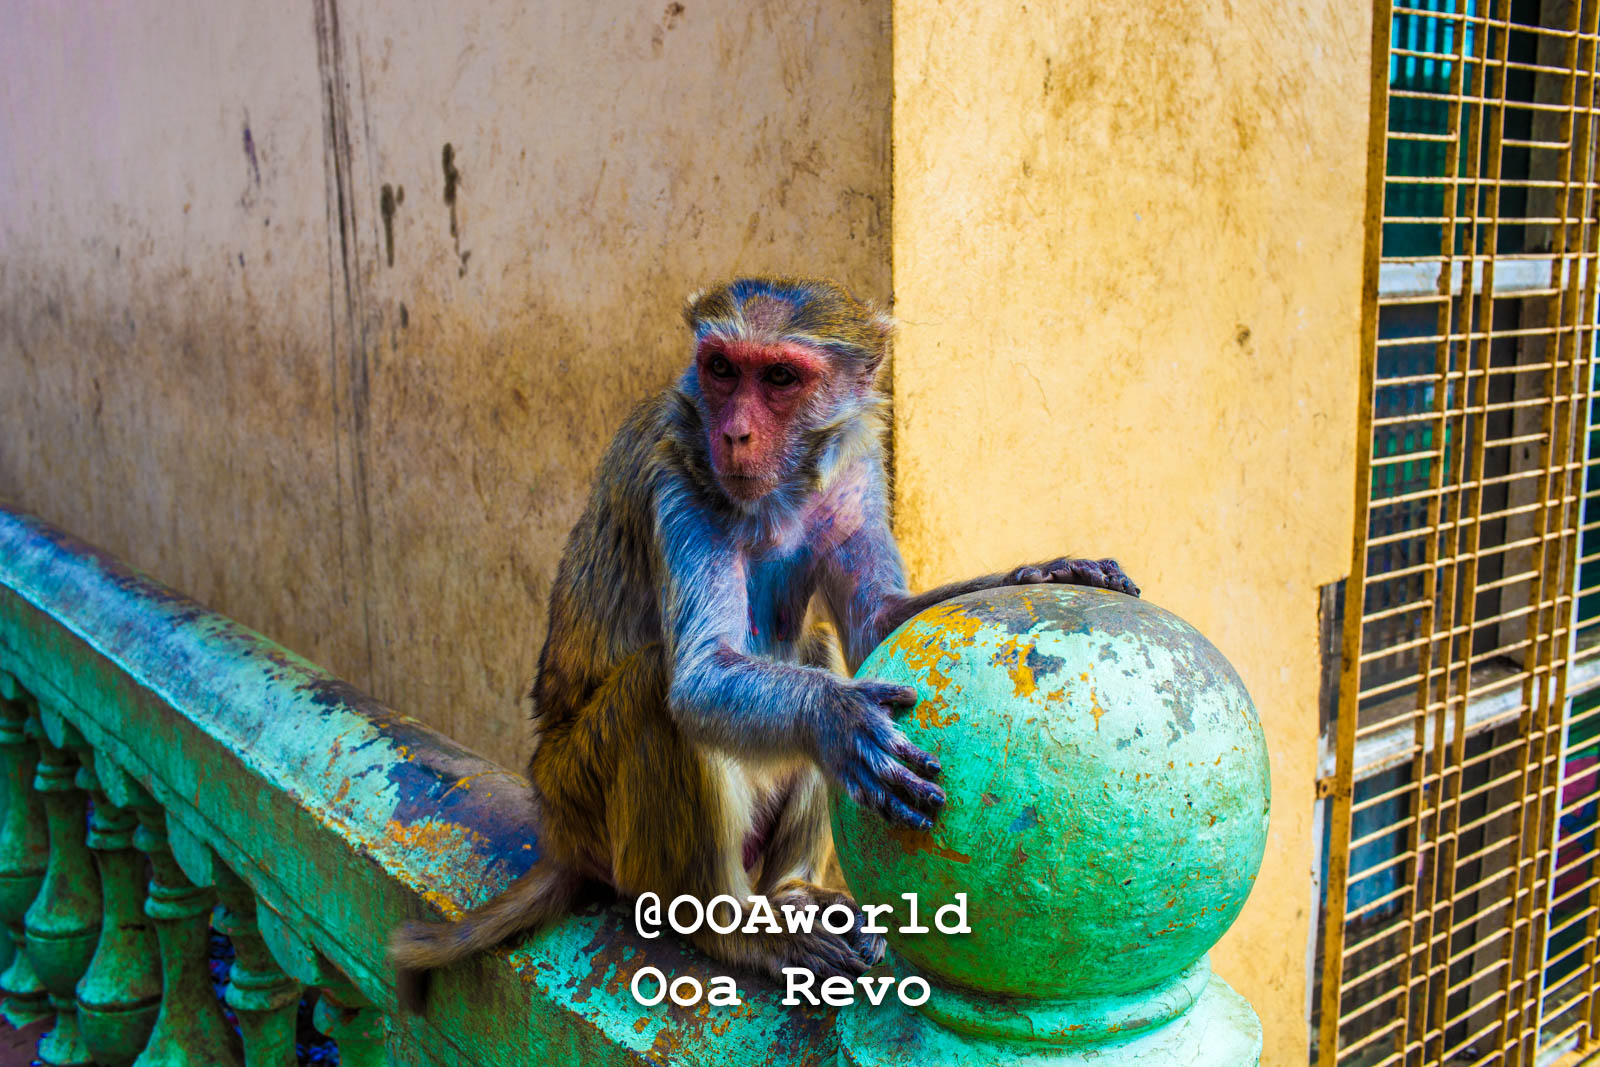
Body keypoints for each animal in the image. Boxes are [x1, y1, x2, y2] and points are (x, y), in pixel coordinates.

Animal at [389, 277, 1138, 1009]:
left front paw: (1045, 573)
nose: (735, 433)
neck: (782, 491)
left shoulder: (852, 468)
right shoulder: (679, 481)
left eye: (779, 376)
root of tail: (559, 833)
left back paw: (792, 893)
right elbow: (700, 677)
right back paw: (734, 930)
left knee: (817, 649)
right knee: (658, 692)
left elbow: (878, 625)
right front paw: (836, 719)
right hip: (587, 802)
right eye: (721, 369)